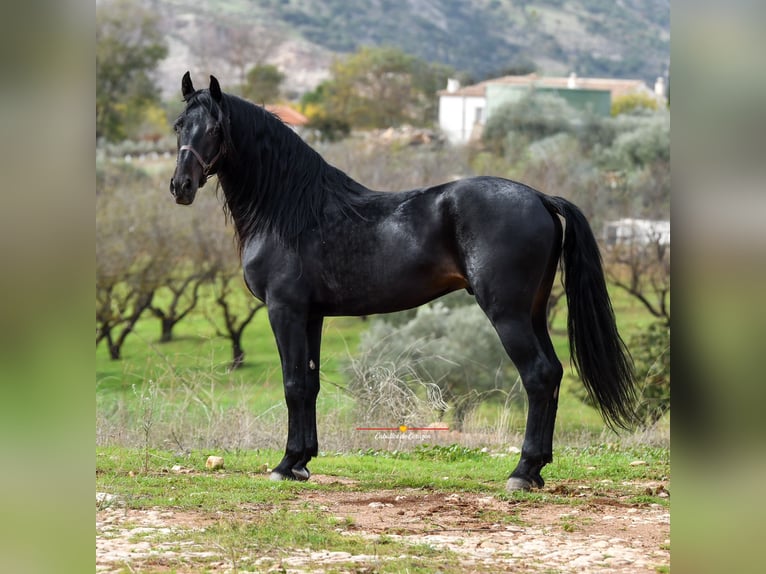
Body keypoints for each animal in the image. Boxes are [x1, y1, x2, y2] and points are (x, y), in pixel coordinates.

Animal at [172, 74, 636, 492]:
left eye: (214, 129)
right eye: (179, 125)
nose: (181, 186)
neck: (291, 210)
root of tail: (540, 197)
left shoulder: (284, 310)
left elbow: (293, 384)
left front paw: (286, 465)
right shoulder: (312, 316)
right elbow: (309, 385)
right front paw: (302, 461)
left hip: (508, 314)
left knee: (538, 375)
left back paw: (522, 472)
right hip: (534, 312)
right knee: (553, 373)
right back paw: (537, 469)